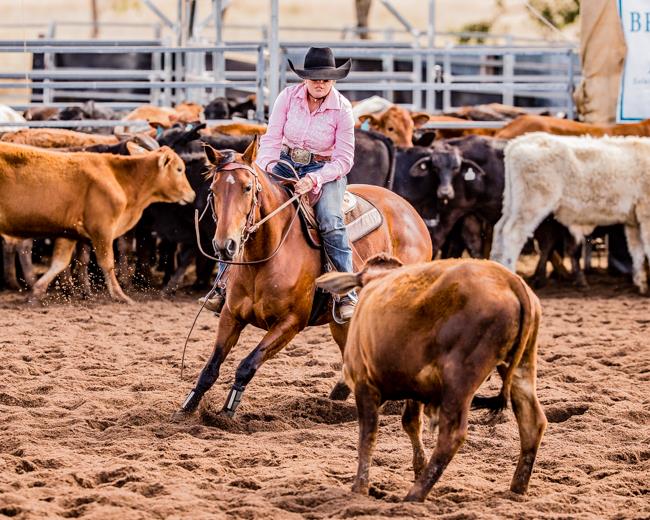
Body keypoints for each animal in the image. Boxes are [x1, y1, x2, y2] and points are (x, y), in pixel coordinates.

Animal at [173, 136, 432, 420]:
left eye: (247, 188)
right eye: (213, 190)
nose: (225, 245)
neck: (264, 258)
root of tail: (410, 212)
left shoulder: (291, 323)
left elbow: (247, 364)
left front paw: (228, 411)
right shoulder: (231, 315)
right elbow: (211, 367)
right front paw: (187, 407)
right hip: (341, 320)